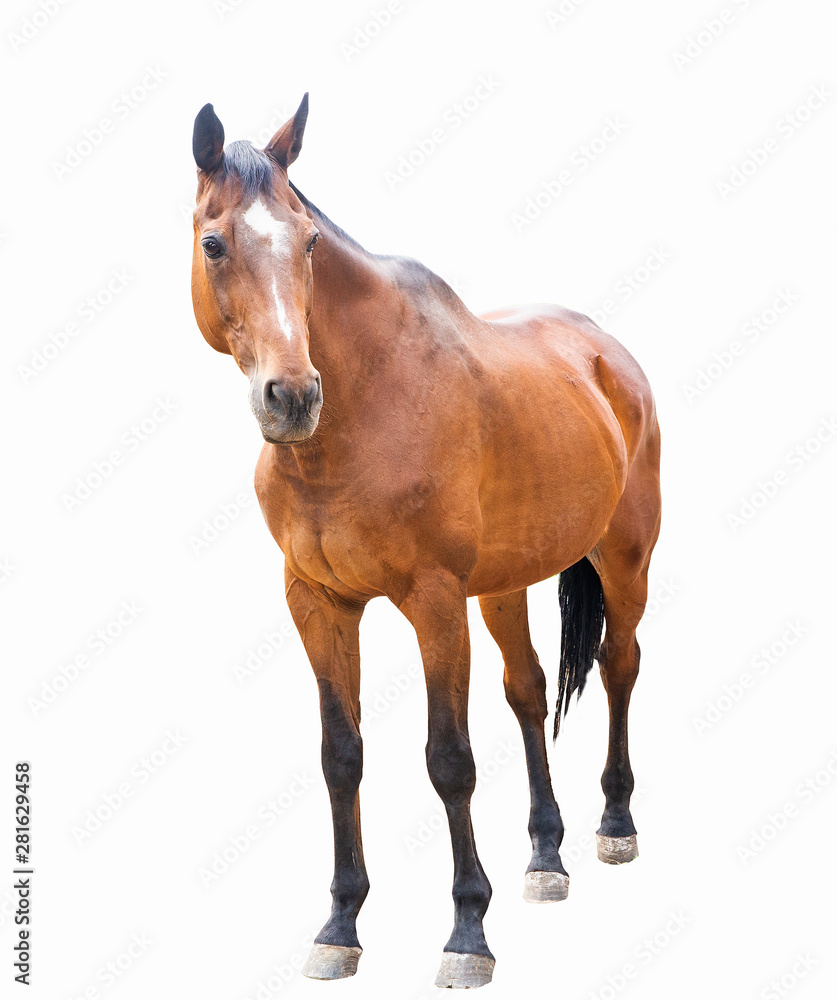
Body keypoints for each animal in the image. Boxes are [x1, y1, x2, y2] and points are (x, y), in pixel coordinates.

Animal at [190, 94, 661, 990]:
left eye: (307, 240)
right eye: (214, 241)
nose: (291, 396)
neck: (364, 408)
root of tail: (607, 354)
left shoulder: (433, 600)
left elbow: (449, 759)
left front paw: (466, 935)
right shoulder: (317, 603)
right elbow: (340, 753)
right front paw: (339, 925)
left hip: (624, 558)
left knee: (619, 664)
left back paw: (615, 824)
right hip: (506, 585)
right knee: (527, 690)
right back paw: (545, 857)